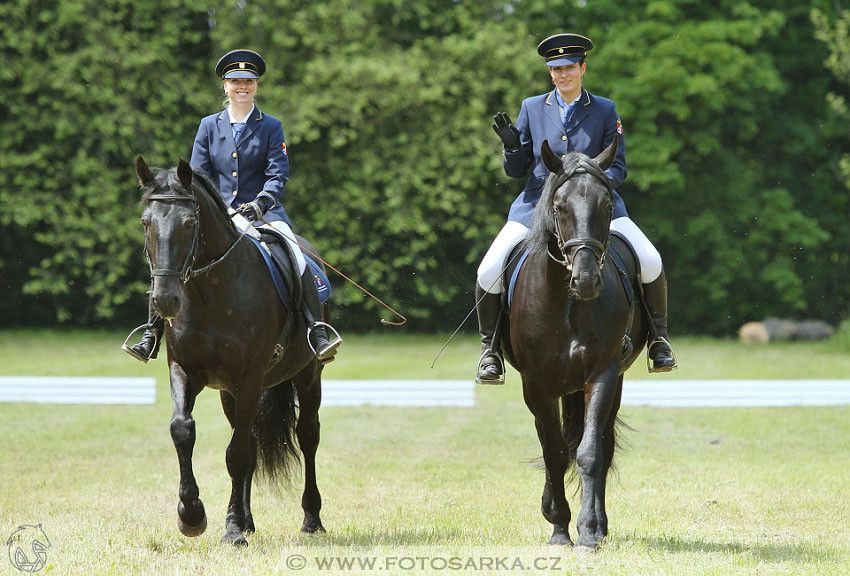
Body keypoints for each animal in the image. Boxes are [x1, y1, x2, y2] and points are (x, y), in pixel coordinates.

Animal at [136, 156, 324, 544]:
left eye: (190, 223)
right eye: (146, 223)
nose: (164, 301)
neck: (210, 291)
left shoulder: (250, 377)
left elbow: (235, 454)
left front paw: (233, 531)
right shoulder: (184, 369)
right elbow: (182, 430)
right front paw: (192, 515)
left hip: (308, 374)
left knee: (307, 436)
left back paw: (311, 518)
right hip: (230, 393)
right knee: (250, 441)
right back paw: (249, 520)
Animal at [500, 137, 644, 548]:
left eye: (607, 205)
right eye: (559, 207)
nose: (586, 280)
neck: (567, 302)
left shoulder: (603, 374)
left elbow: (589, 452)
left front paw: (588, 531)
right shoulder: (536, 383)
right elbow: (553, 451)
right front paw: (560, 527)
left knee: (600, 444)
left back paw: (600, 524)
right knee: (553, 441)